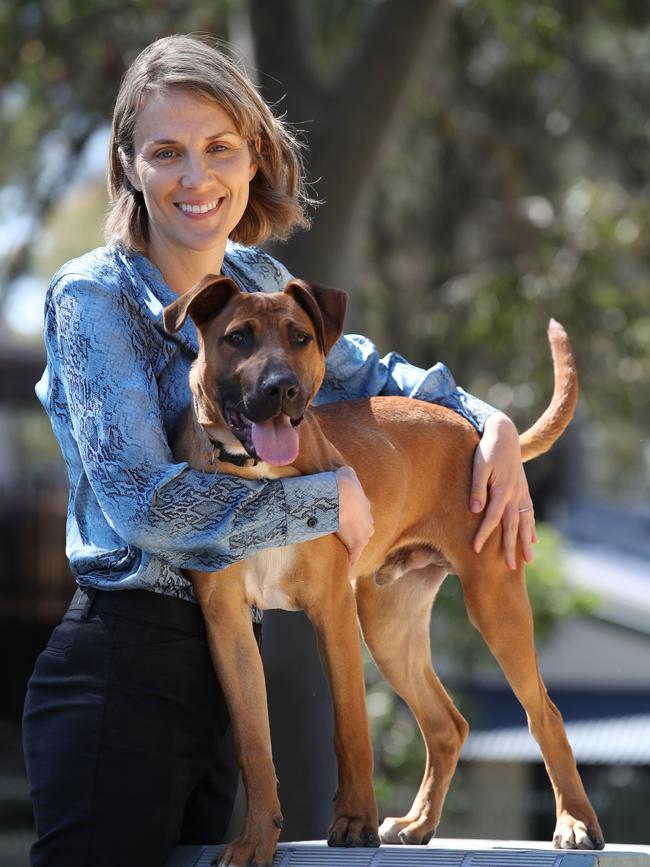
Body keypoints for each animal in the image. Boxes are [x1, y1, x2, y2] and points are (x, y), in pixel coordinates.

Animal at [162, 276, 604, 867]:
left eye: (300, 337)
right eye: (237, 337)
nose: (282, 389)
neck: (259, 475)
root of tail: (470, 429)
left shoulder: (332, 608)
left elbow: (351, 728)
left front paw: (353, 823)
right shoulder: (228, 623)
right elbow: (255, 745)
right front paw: (256, 840)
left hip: (493, 600)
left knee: (544, 714)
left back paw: (575, 822)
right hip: (390, 624)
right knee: (446, 725)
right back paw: (418, 824)